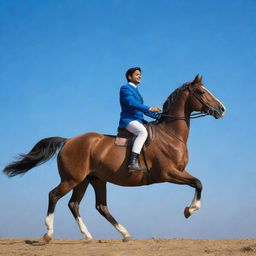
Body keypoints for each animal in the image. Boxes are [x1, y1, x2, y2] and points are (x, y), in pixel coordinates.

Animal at [3, 74, 225, 242]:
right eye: (201, 92)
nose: (222, 109)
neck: (170, 135)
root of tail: (68, 141)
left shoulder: (178, 172)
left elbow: (198, 183)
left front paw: (190, 208)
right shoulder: (169, 173)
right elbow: (198, 183)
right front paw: (190, 210)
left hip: (91, 180)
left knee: (87, 206)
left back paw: (106, 235)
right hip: (72, 179)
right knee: (54, 196)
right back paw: (49, 233)